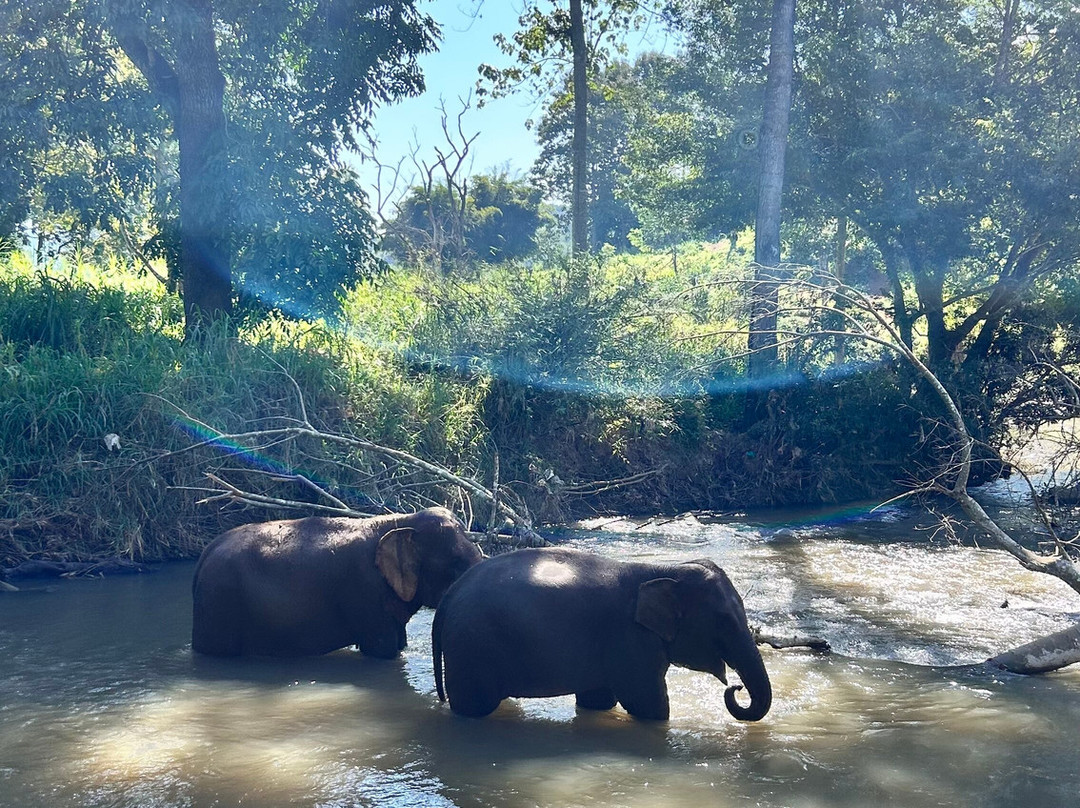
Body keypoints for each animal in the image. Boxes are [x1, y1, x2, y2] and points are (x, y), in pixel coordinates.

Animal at [192, 507, 483, 658]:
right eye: (456, 564)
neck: (401, 520)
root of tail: (204, 555)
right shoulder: (364, 590)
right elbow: (382, 650)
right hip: (221, 603)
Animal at [432, 547, 771, 722]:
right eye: (724, 621)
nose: (736, 687)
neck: (661, 569)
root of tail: (449, 595)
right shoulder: (630, 641)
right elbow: (648, 704)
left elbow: (598, 700)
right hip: (471, 647)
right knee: (474, 707)